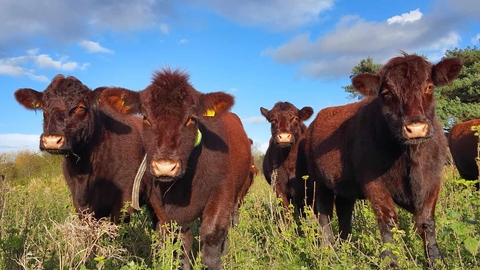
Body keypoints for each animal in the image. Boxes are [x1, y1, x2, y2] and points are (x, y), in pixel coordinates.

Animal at [100, 68, 253, 268]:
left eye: (191, 119)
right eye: (145, 118)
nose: (165, 166)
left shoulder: (222, 191)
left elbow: (212, 238)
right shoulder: (161, 207)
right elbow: (179, 245)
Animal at [306, 53, 464, 268]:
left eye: (429, 86)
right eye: (387, 92)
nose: (416, 128)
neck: (410, 156)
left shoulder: (433, 179)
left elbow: (427, 221)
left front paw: (436, 261)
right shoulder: (374, 183)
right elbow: (388, 222)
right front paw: (391, 262)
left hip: (345, 187)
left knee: (344, 212)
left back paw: (346, 245)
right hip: (319, 182)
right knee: (324, 214)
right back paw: (329, 250)